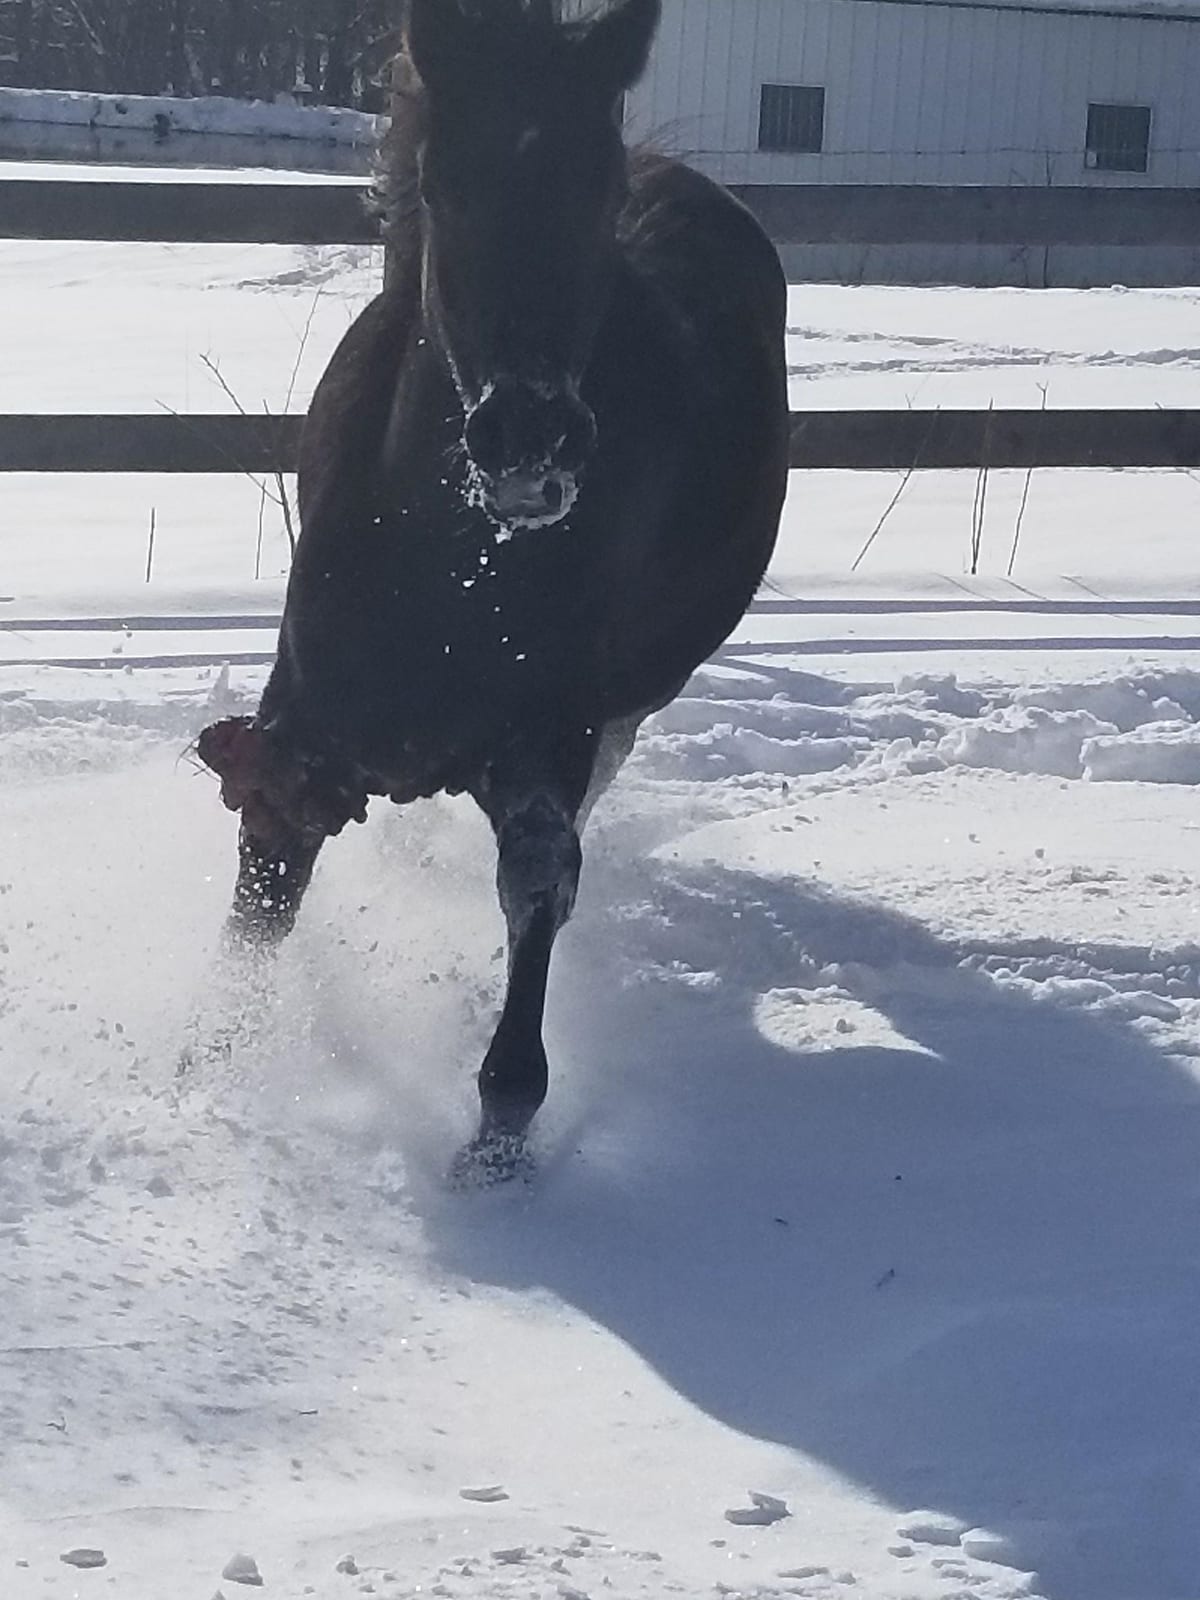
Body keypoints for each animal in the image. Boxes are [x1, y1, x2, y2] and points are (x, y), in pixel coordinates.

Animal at [197, 0, 789, 1183]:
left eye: (599, 189)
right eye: (443, 183)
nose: (531, 441)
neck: (455, 565)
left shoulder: (548, 743)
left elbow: (538, 886)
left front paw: (498, 1153)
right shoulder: (294, 750)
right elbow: (259, 918)